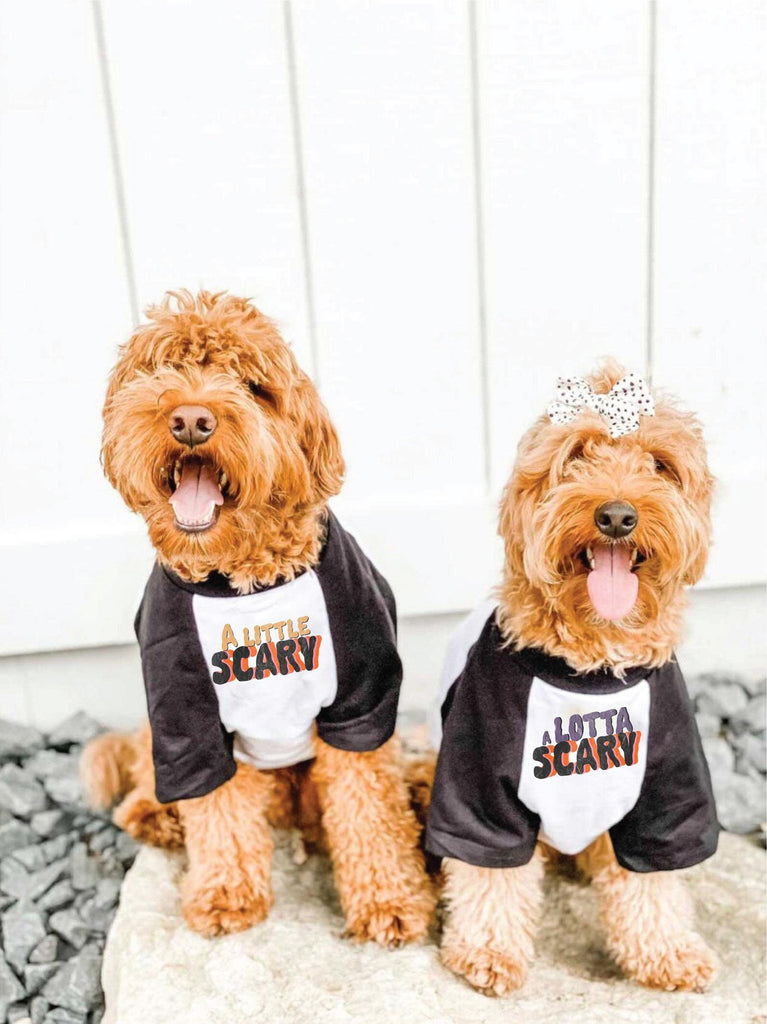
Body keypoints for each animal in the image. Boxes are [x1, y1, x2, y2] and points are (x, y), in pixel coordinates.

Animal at [82, 288, 436, 942]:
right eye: (161, 370)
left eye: (251, 386)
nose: (190, 420)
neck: (242, 583)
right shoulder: (185, 716)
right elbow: (216, 811)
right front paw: (225, 894)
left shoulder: (360, 702)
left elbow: (370, 810)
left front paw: (389, 901)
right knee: (152, 769)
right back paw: (152, 811)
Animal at [421, 360, 716, 991]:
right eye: (576, 454)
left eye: (660, 464)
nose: (617, 515)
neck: (591, 664)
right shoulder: (477, 785)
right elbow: (489, 871)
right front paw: (488, 950)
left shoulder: (666, 787)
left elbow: (655, 877)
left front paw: (667, 950)